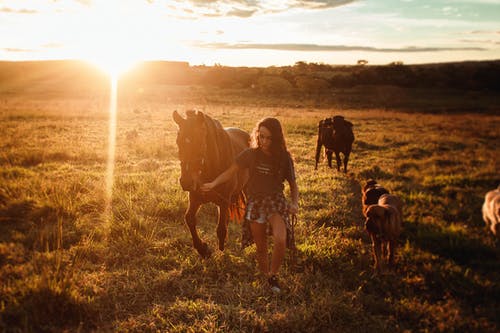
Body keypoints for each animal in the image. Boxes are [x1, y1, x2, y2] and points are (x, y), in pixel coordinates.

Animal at [173, 110, 249, 258]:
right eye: (178, 142)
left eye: (200, 142)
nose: (186, 182)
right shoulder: (195, 198)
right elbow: (189, 219)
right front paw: (202, 249)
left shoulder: (224, 201)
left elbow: (220, 228)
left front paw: (220, 248)